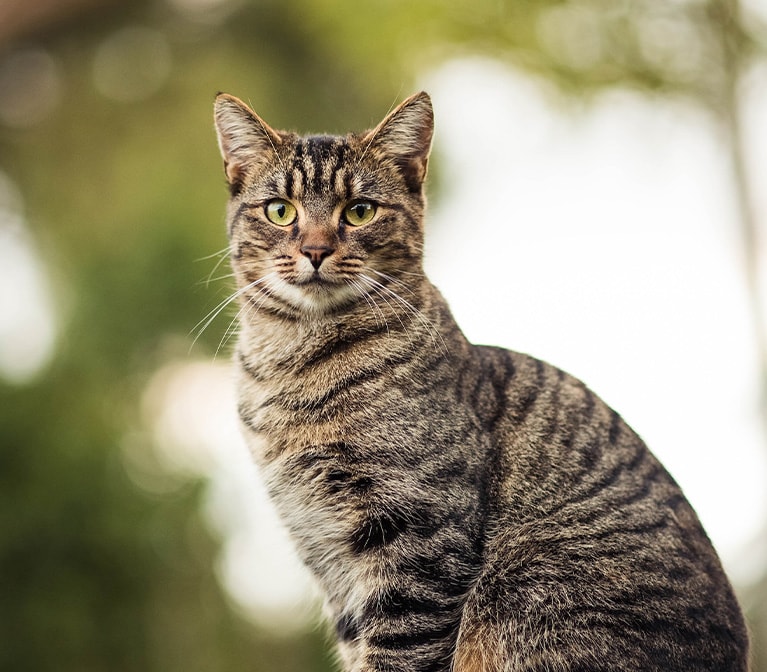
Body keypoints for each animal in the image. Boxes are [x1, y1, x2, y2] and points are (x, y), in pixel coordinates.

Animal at [214, 90, 752, 672]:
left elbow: (397, 650)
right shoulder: (324, 549)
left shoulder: (419, 535)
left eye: (359, 211)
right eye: (280, 210)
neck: (290, 365)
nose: (315, 250)